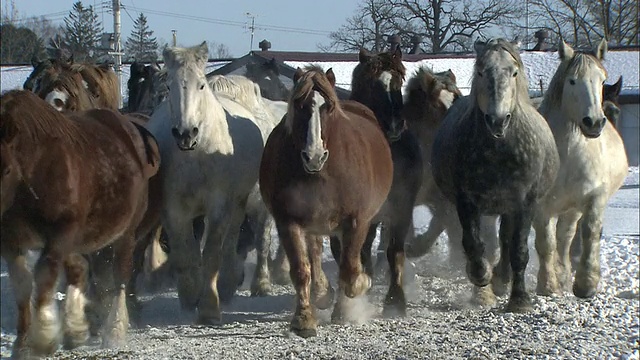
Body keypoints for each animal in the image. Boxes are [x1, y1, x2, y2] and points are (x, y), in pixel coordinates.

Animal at [0, 90, 160, 358]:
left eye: (6, 169)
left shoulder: (60, 233)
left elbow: (44, 276)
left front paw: (42, 339)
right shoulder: (13, 240)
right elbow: (22, 286)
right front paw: (22, 344)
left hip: (125, 234)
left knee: (121, 275)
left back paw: (114, 329)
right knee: (81, 268)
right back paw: (77, 328)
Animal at [146, 42, 264, 324]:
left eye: (201, 85)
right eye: (169, 86)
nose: (185, 133)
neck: (196, 154)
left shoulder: (219, 206)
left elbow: (211, 255)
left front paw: (209, 308)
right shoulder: (173, 209)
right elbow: (185, 256)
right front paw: (190, 299)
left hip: (238, 202)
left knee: (230, 241)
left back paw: (227, 285)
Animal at [260, 65, 396, 338]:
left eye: (328, 107)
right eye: (299, 105)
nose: (314, 156)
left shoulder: (356, 222)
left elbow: (350, 270)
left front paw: (363, 283)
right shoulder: (288, 221)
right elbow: (301, 270)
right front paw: (303, 319)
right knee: (315, 253)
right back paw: (323, 294)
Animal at [430, 38, 560, 310]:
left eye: (514, 72)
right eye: (481, 72)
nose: (497, 121)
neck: (499, 149)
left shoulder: (525, 203)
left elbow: (518, 249)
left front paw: (520, 300)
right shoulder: (466, 201)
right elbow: (474, 244)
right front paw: (481, 275)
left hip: (510, 207)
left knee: (507, 241)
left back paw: (504, 280)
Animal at [532, 38, 628, 298]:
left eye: (602, 80)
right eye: (572, 81)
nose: (593, 122)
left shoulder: (594, 197)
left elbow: (589, 233)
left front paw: (586, 284)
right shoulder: (541, 206)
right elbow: (545, 243)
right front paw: (547, 285)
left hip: (572, 207)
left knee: (566, 238)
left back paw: (566, 275)